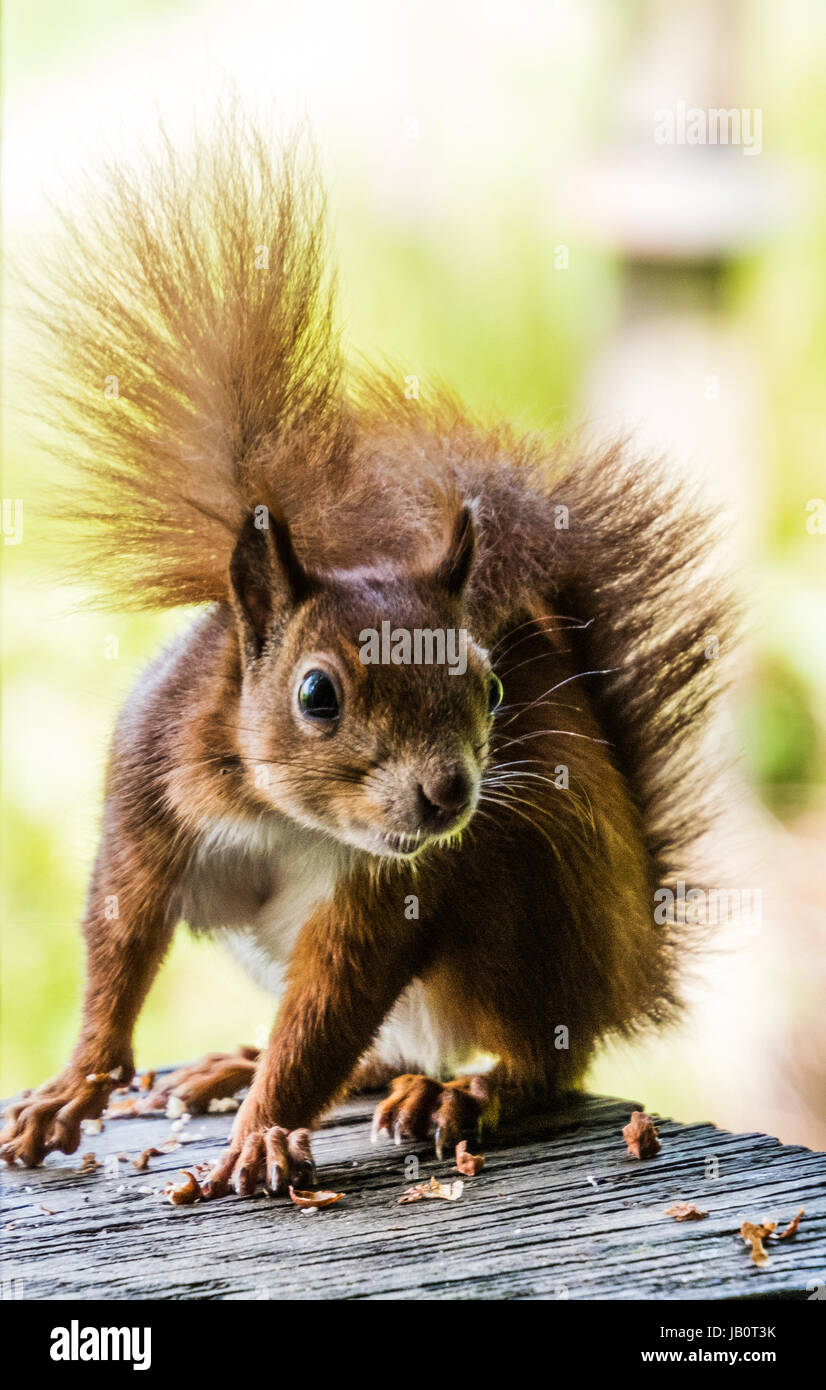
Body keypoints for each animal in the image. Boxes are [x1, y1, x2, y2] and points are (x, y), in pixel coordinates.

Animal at [1, 117, 733, 1195]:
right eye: (316, 693)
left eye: (491, 684)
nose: (449, 794)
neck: (274, 810)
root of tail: (629, 966)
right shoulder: (146, 795)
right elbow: (120, 938)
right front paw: (75, 1086)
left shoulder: (393, 888)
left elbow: (332, 1003)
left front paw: (265, 1129)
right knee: (386, 1047)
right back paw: (247, 1063)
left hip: (523, 909)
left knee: (541, 1055)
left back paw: (462, 1092)